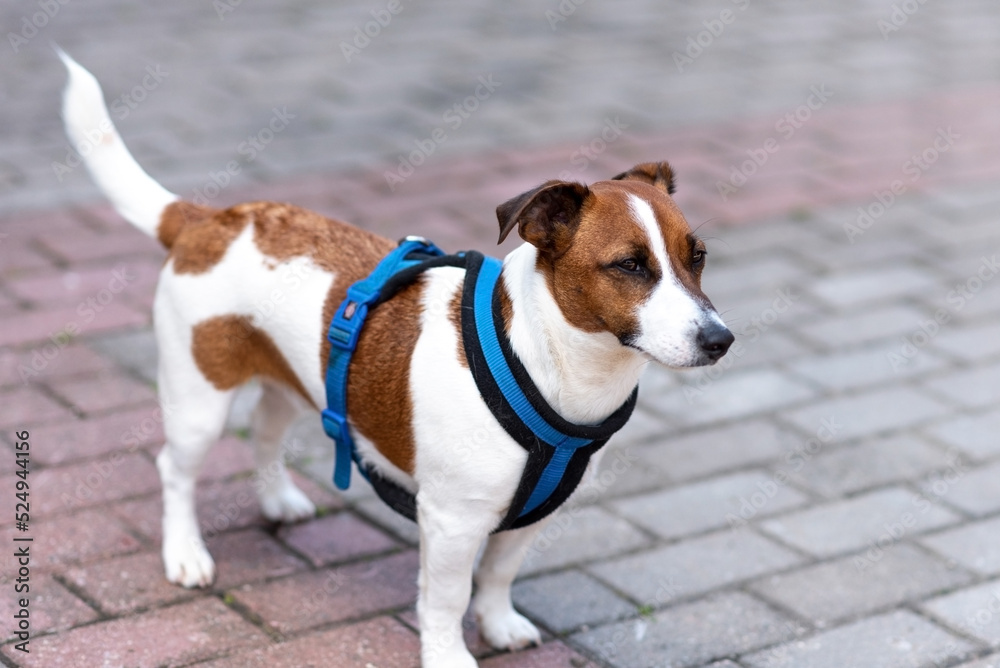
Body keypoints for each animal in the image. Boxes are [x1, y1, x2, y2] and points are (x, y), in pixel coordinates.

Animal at [60, 49, 736, 664]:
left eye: (698, 256)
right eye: (629, 266)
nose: (720, 340)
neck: (548, 363)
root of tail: (208, 219)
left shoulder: (530, 518)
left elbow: (497, 576)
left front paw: (498, 625)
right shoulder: (451, 522)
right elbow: (446, 600)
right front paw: (449, 654)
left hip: (291, 379)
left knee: (266, 431)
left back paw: (278, 499)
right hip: (198, 399)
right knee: (175, 471)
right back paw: (185, 553)